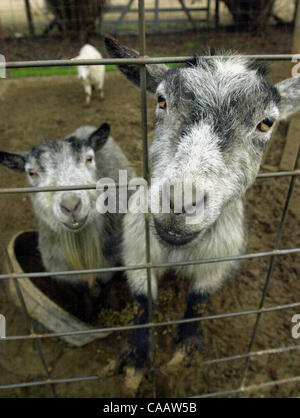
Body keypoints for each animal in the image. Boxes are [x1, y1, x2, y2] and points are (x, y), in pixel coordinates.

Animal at [0, 122, 135, 318]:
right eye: (31, 173)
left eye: (89, 159)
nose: (71, 206)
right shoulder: (64, 272)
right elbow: (81, 292)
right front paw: (87, 311)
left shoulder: (110, 262)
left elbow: (105, 285)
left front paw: (110, 304)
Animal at [105, 36, 300, 388]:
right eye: (162, 101)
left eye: (266, 123)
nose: (180, 202)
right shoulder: (137, 247)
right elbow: (144, 300)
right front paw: (135, 357)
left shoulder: (224, 256)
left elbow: (198, 298)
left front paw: (187, 348)